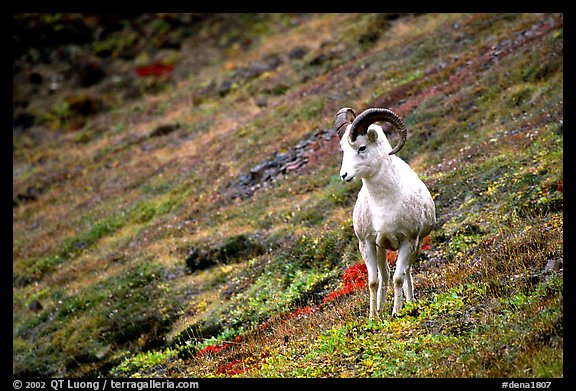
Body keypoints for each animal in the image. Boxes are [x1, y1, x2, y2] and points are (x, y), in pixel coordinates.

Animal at [332, 106, 436, 318]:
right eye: (344, 150)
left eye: (362, 148)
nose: (344, 175)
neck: (383, 204)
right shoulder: (367, 244)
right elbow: (374, 281)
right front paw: (373, 317)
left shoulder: (408, 242)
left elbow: (399, 278)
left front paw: (397, 312)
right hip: (381, 248)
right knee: (384, 276)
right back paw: (380, 309)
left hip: (416, 246)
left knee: (406, 272)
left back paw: (410, 302)